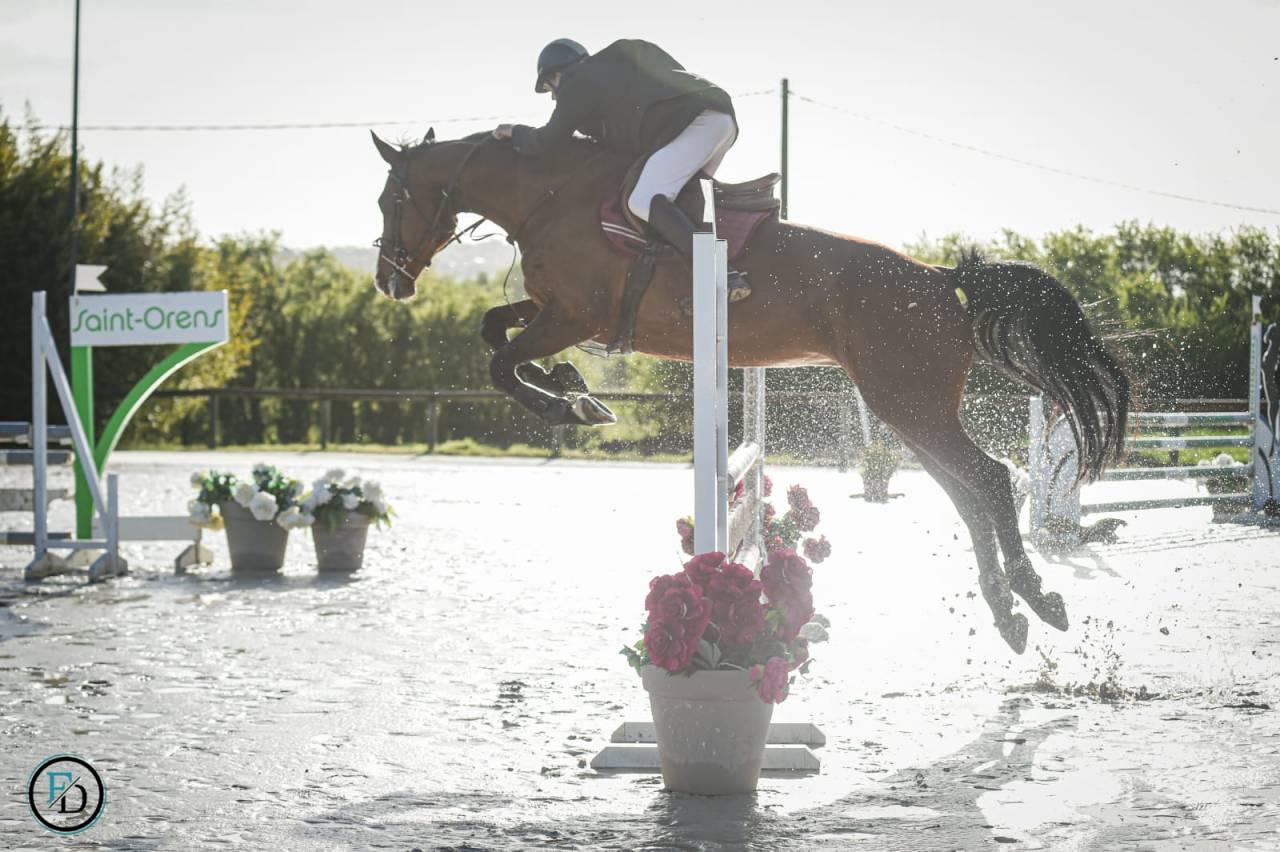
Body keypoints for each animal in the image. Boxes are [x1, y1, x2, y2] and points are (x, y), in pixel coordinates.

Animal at [368, 128, 1130, 654]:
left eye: (390, 197)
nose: (389, 282)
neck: (550, 197)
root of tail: (944, 279)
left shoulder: (576, 314)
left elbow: (502, 363)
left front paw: (570, 402)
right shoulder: (557, 312)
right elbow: (492, 329)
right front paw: (572, 385)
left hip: (908, 404)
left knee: (991, 480)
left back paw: (1036, 599)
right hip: (910, 411)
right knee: (970, 495)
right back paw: (1010, 614)